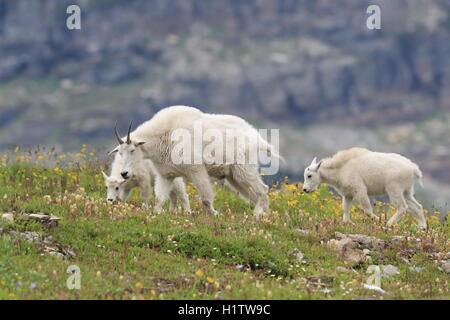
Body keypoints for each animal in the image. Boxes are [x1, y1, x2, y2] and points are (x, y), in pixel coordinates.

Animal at [110, 106, 280, 216]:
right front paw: (156, 213)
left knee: (263, 188)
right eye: (120, 152)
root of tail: (257, 137)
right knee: (253, 193)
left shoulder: (196, 170)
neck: (164, 135)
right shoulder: (166, 175)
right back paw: (265, 214)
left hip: (243, 168)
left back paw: (257, 215)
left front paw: (214, 213)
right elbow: (159, 197)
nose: (124, 173)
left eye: (132, 150)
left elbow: (205, 197)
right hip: (233, 175)